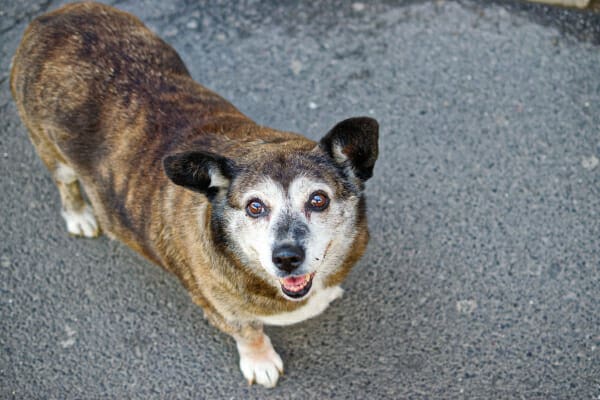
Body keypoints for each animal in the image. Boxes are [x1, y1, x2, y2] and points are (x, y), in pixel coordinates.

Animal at [10, 0, 380, 388]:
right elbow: (248, 331)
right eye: (254, 207)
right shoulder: (219, 309)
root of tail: (52, 16)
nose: (287, 258)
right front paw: (260, 361)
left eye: (318, 200)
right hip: (50, 149)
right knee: (65, 182)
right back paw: (80, 215)